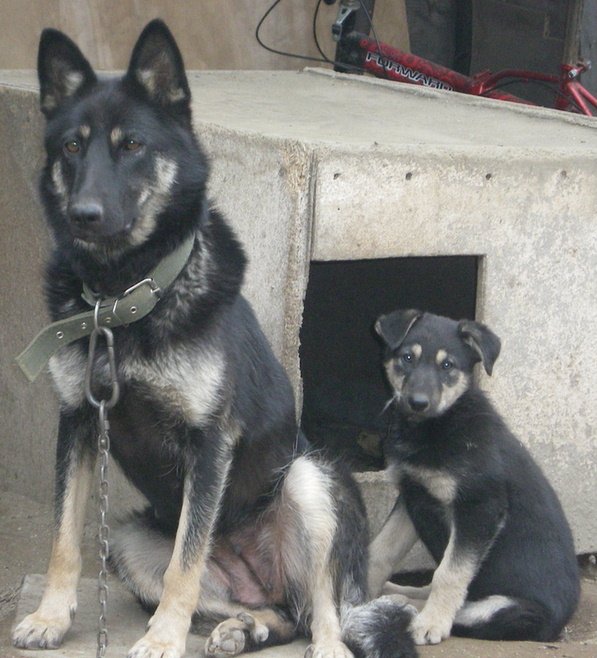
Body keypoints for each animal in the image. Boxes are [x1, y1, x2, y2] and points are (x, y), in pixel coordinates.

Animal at [12, 20, 417, 658]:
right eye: (72, 147)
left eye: (132, 145)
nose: (83, 214)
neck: (122, 296)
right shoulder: (77, 420)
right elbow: (65, 536)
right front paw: (52, 616)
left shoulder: (208, 443)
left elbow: (187, 558)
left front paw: (161, 639)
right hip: (131, 543)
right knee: (281, 614)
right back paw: (242, 627)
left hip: (308, 480)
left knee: (325, 610)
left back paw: (318, 641)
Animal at [369, 309, 580, 645]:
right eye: (407, 358)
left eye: (447, 366)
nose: (418, 402)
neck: (439, 425)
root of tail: (558, 627)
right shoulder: (413, 495)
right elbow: (381, 551)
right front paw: (358, 589)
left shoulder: (479, 508)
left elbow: (449, 573)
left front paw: (432, 622)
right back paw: (396, 592)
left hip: (512, 610)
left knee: (464, 609)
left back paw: (407, 607)